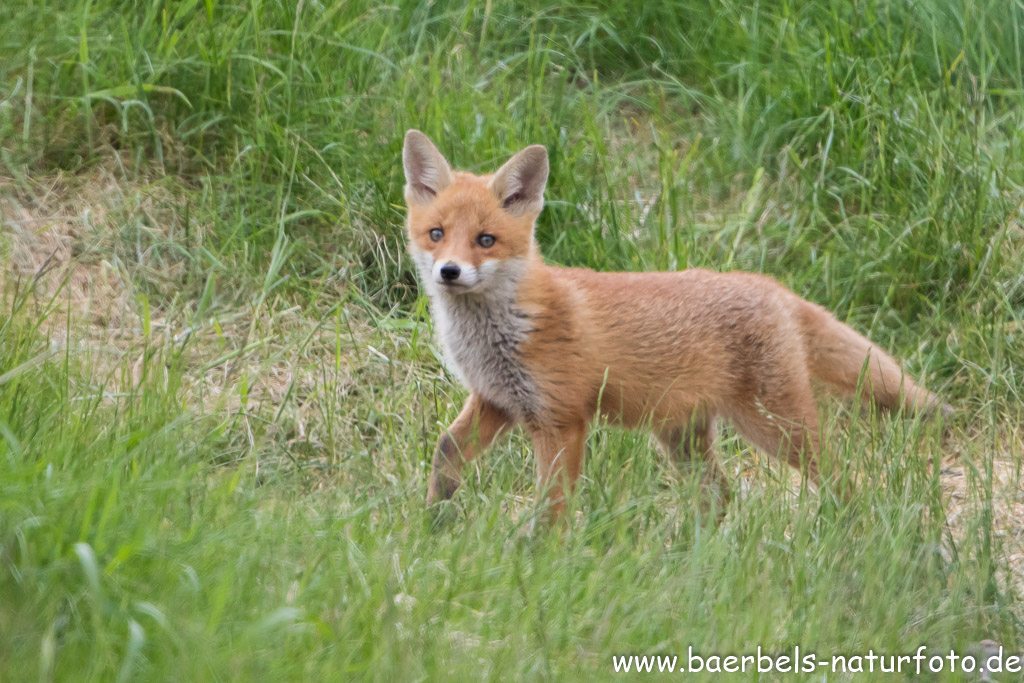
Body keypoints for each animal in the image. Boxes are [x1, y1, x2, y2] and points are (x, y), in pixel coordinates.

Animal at [401, 127, 950, 524]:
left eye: (486, 240)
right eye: (437, 234)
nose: (449, 272)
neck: (500, 333)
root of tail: (770, 284)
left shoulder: (561, 418)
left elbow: (552, 505)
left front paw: (542, 559)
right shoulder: (497, 401)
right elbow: (446, 453)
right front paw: (434, 521)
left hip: (776, 427)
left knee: (839, 476)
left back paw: (850, 528)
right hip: (682, 437)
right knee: (722, 497)